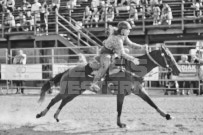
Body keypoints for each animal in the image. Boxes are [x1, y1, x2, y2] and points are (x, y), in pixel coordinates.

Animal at [36, 45, 181, 127]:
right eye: (168, 57)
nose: (178, 71)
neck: (132, 69)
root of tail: (68, 70)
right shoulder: (121, 94)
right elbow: (119, 109)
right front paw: (120, 124)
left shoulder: (140, 91)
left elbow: (152, 103)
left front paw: (167, 116)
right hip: (66, 90)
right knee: (54, 100)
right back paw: (40, 114)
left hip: (75, 92)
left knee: (64, 101)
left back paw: (56, 116)